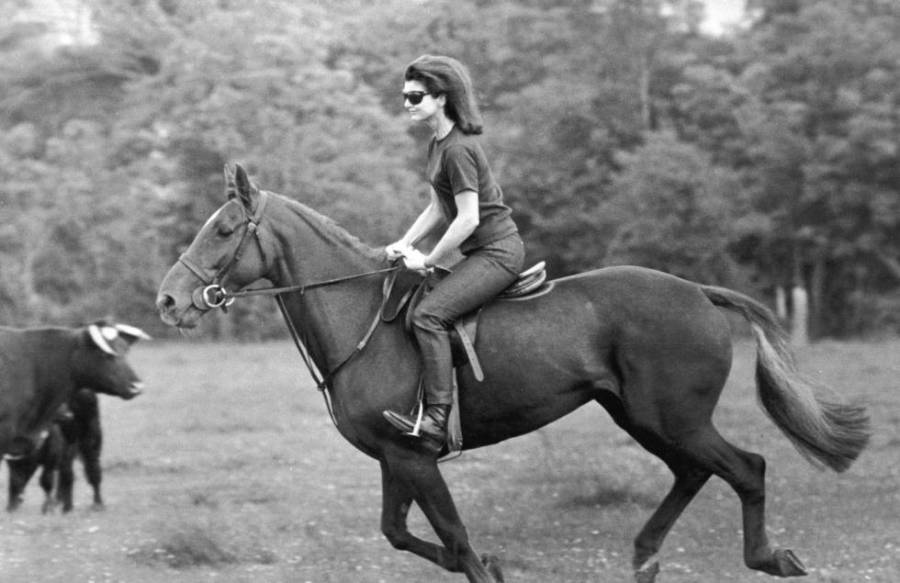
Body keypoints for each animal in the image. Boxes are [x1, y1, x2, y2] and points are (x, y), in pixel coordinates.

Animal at [156, 164, 870, 583]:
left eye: (224, 230)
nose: (168, 301)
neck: (362, 323)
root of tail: (697, 291)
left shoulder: (414, 456)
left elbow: (455, 540)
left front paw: (488, 564)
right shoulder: (394, 458)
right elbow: (401, 534)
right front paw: (496, 562)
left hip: (674, 417)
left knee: (746, 468)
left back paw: (769, 557)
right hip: (641, 416)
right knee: (694, 473)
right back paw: (645, 556)